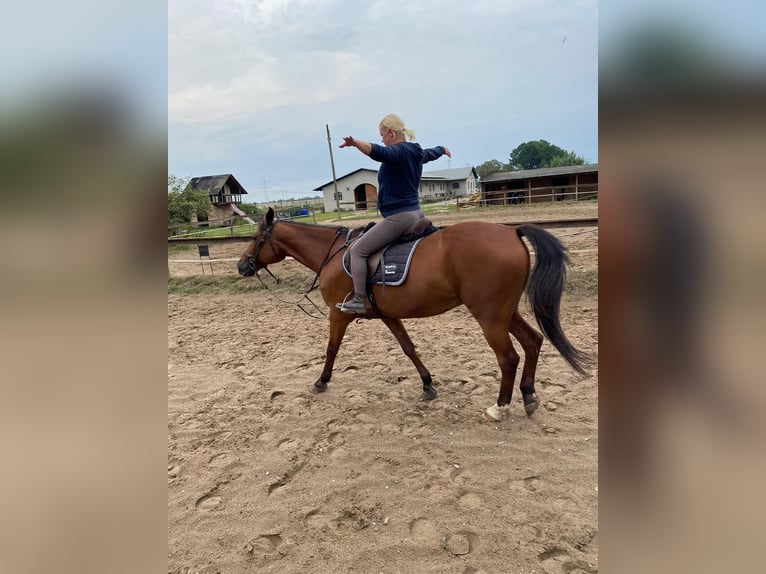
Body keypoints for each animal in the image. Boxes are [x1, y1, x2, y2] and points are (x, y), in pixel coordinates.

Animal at [237, 209, 592, 420]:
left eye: (256, 239)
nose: (241, 266)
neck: (334, 255)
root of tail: (511, 232)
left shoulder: (338, 315)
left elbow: (331, 349)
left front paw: (321, 381)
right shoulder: (388, 315)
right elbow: (409, 348)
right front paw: (427, 385)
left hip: (490, 317)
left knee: (509, 358)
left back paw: (500, 407)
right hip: (505, 313)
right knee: (533, 342)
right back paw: (529, 397)